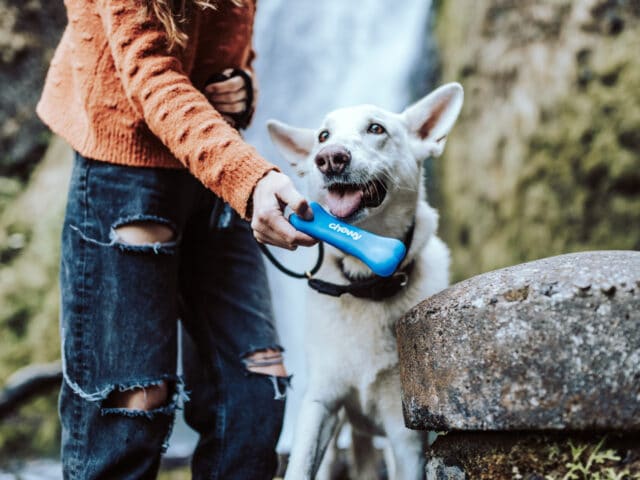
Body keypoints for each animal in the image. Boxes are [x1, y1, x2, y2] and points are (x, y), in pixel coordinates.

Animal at [268, 83, 462, 480]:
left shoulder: (404, 434)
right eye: (323, 136)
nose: (329, 158)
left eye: (376, 129)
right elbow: (300, 466)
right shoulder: (320, 403)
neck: (365, 284)